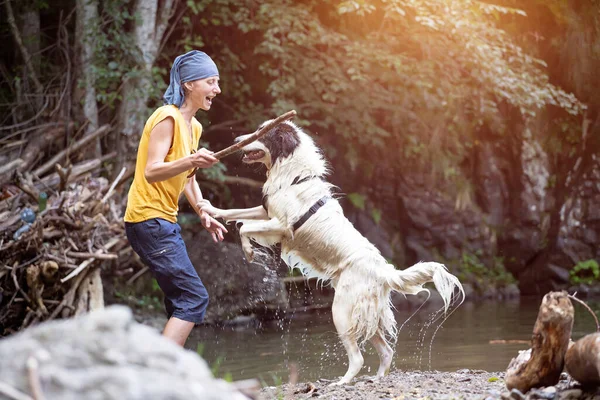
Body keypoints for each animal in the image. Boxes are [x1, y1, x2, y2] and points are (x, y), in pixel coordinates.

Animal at [199, 121, 466, 384]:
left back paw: (342, 382)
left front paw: (249, 253)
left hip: (341, 310)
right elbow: (236, 213)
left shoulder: (282, 225)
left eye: (261, 133)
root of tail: (384, 271)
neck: (295, 175)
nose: (235, 141)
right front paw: (209, 208)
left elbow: (245, 227)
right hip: (366, 312)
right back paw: (377, 379)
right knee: (386, 351)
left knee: (358, 357)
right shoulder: (267, 212)